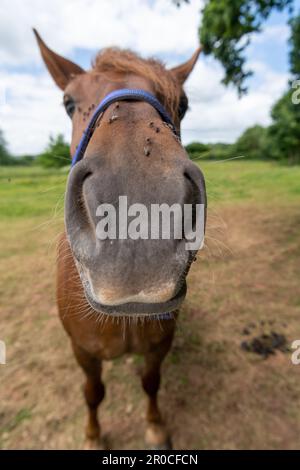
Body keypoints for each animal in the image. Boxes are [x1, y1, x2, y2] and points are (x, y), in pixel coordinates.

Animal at [33, 28, 206, 448]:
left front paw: (156, 428)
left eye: (184, 103)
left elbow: (150, 382)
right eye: (68, 102)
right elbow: (93, 393)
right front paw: (94, 436)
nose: (137, 239)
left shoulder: (159, 346)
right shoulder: (83, 352)